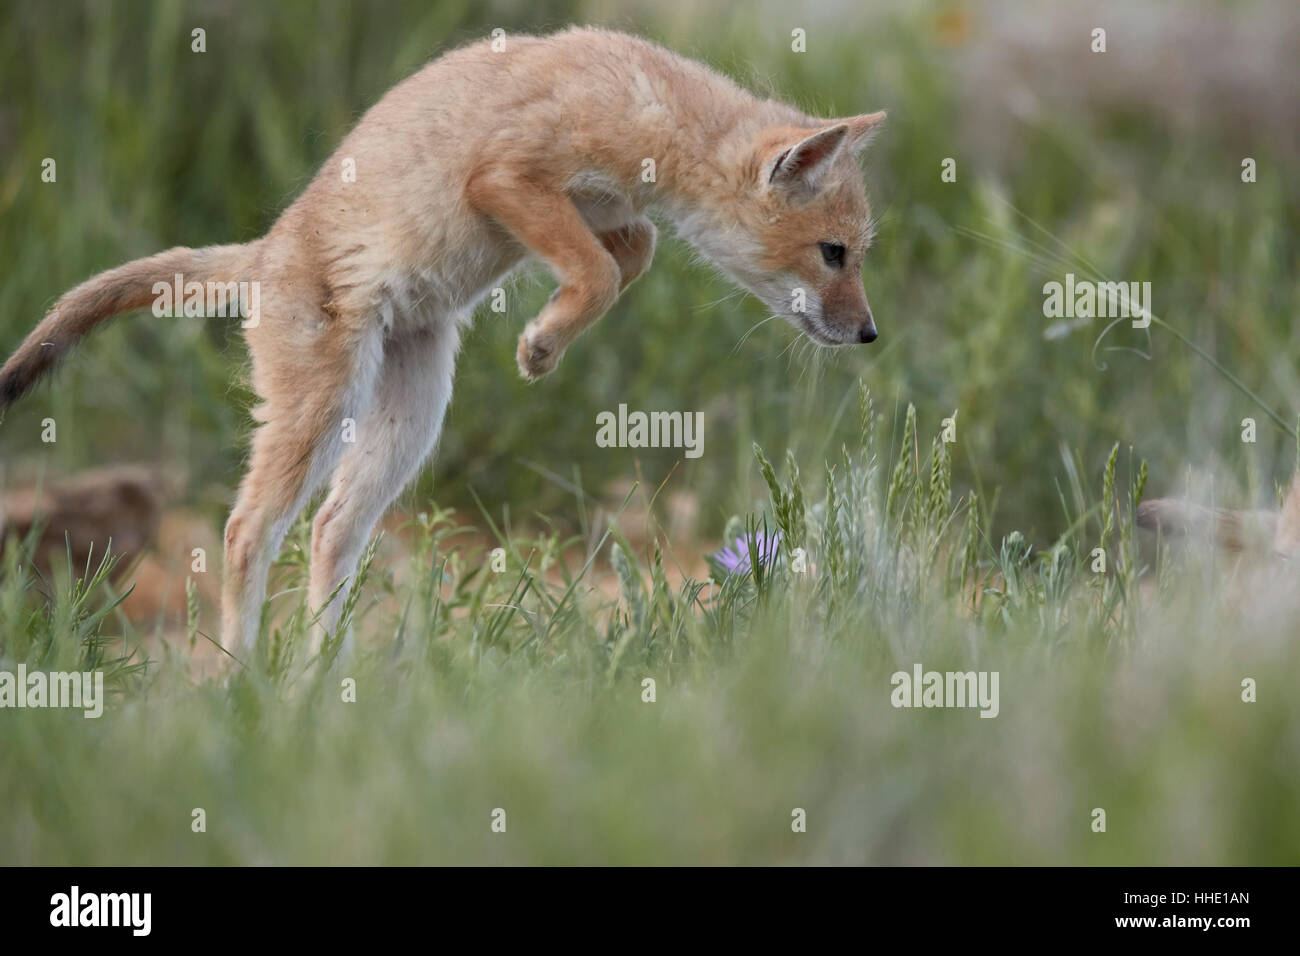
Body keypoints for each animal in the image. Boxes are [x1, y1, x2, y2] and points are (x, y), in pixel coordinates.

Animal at [0, 29, 883, 658]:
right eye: (835, 253)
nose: (871, 332)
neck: (648, 102)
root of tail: (263, 251)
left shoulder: (605, 213)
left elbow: (628, 257)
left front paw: (549, 334)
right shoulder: (506, 179)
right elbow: (602, 271)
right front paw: (542, 345)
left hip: (408, 424)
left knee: (330, 532)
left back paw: (323, 687)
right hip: (320, 413)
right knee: (246, 531)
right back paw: (239, 683)